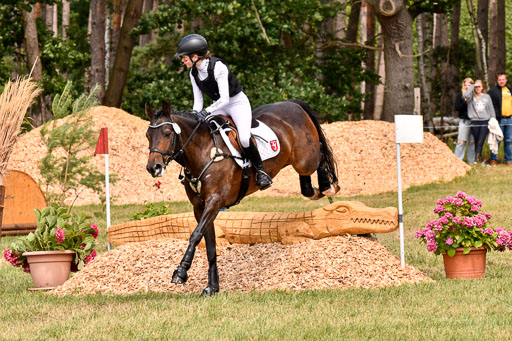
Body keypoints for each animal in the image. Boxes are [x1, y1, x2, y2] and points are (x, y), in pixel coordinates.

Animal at [145, 99, 340, 294]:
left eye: (167, 133)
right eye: (148, 135)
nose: (153, 168)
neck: (205, 152)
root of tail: (292, 103)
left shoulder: (215, 202)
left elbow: (195, 235)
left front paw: (181, 272)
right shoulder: (200, 207)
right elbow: (209, 244)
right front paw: (212, 286)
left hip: (305, 158)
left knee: (320, 152)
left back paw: (328, 186)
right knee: (307, 184)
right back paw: (315, 190)